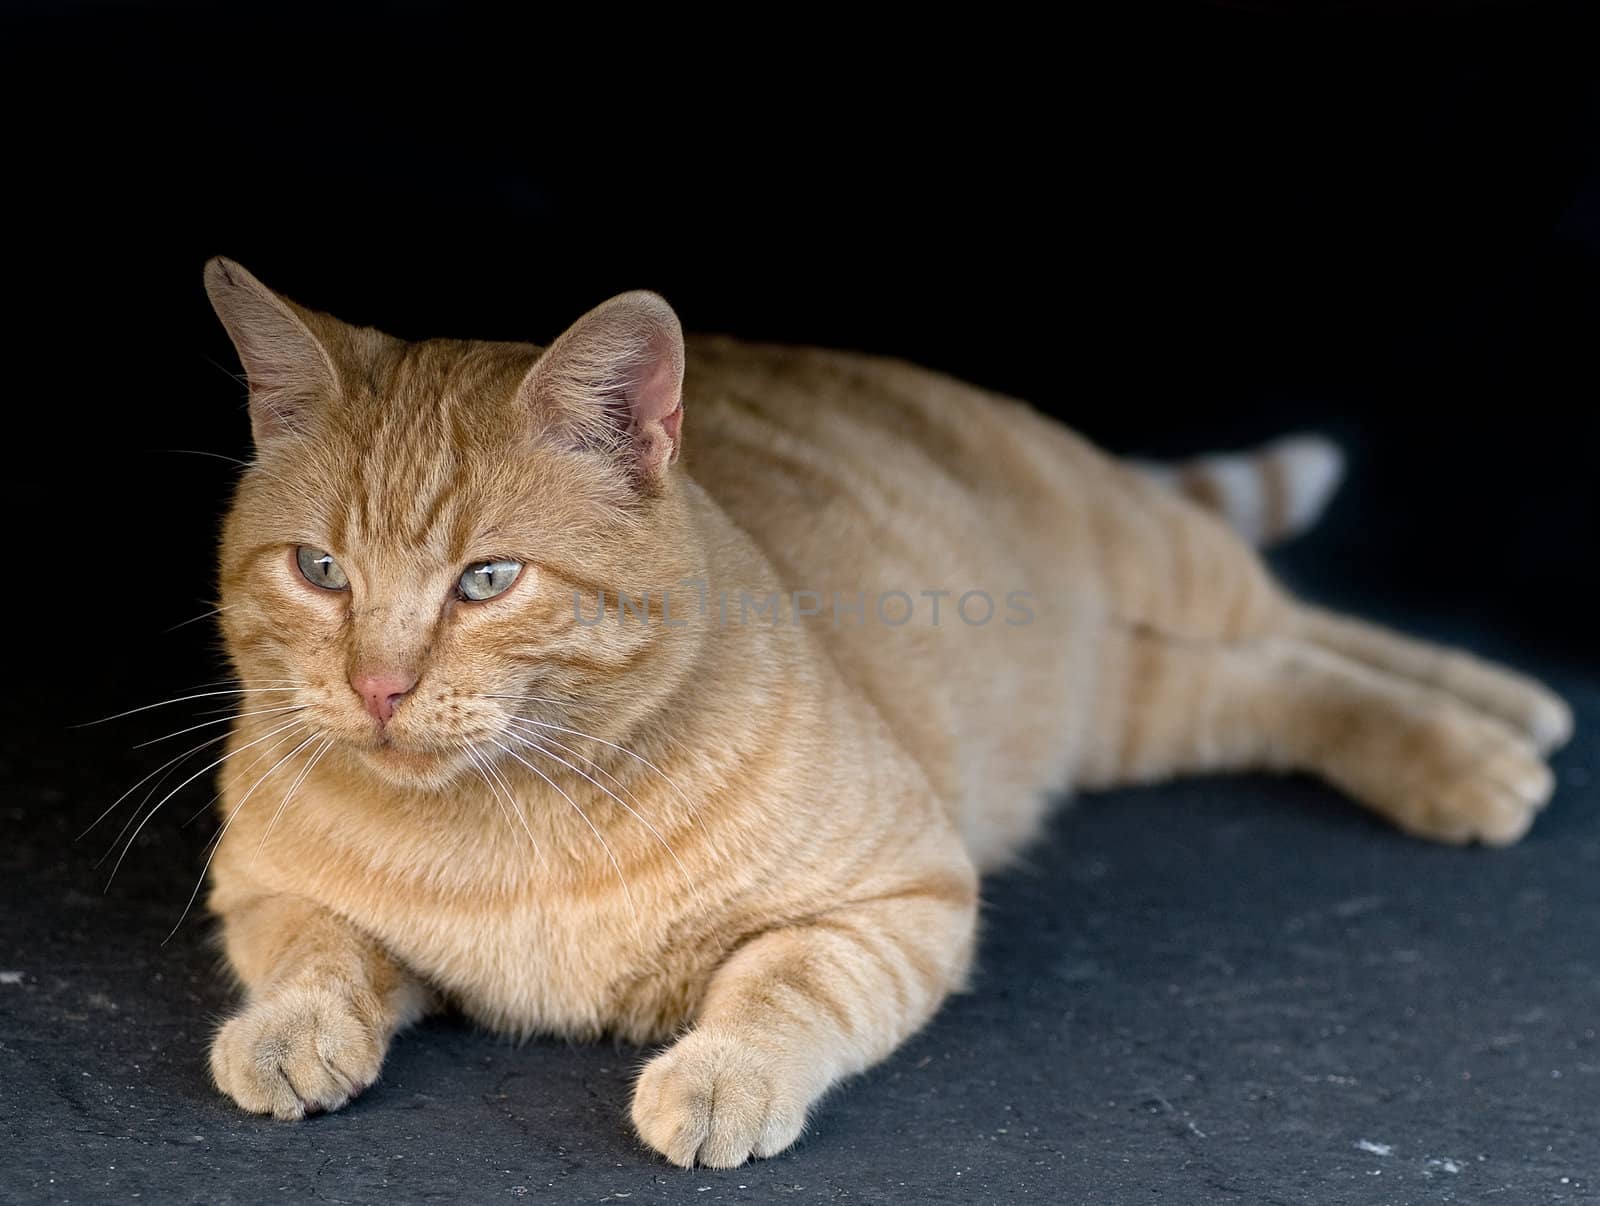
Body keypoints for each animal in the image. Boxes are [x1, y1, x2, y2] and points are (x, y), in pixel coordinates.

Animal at [200, 255, 1574, 1164]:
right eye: (319, 571)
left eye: (487, 581)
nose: (377, 687)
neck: (508, 822)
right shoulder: (256, 887)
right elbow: (315, 949)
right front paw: (289, 1032)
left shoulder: (904, 896)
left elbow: (784, 984)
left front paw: (722, 1079)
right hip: (1120, 710)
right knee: (1266, 678)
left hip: (1157, 569)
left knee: (1302, 625)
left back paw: (1498, 725)